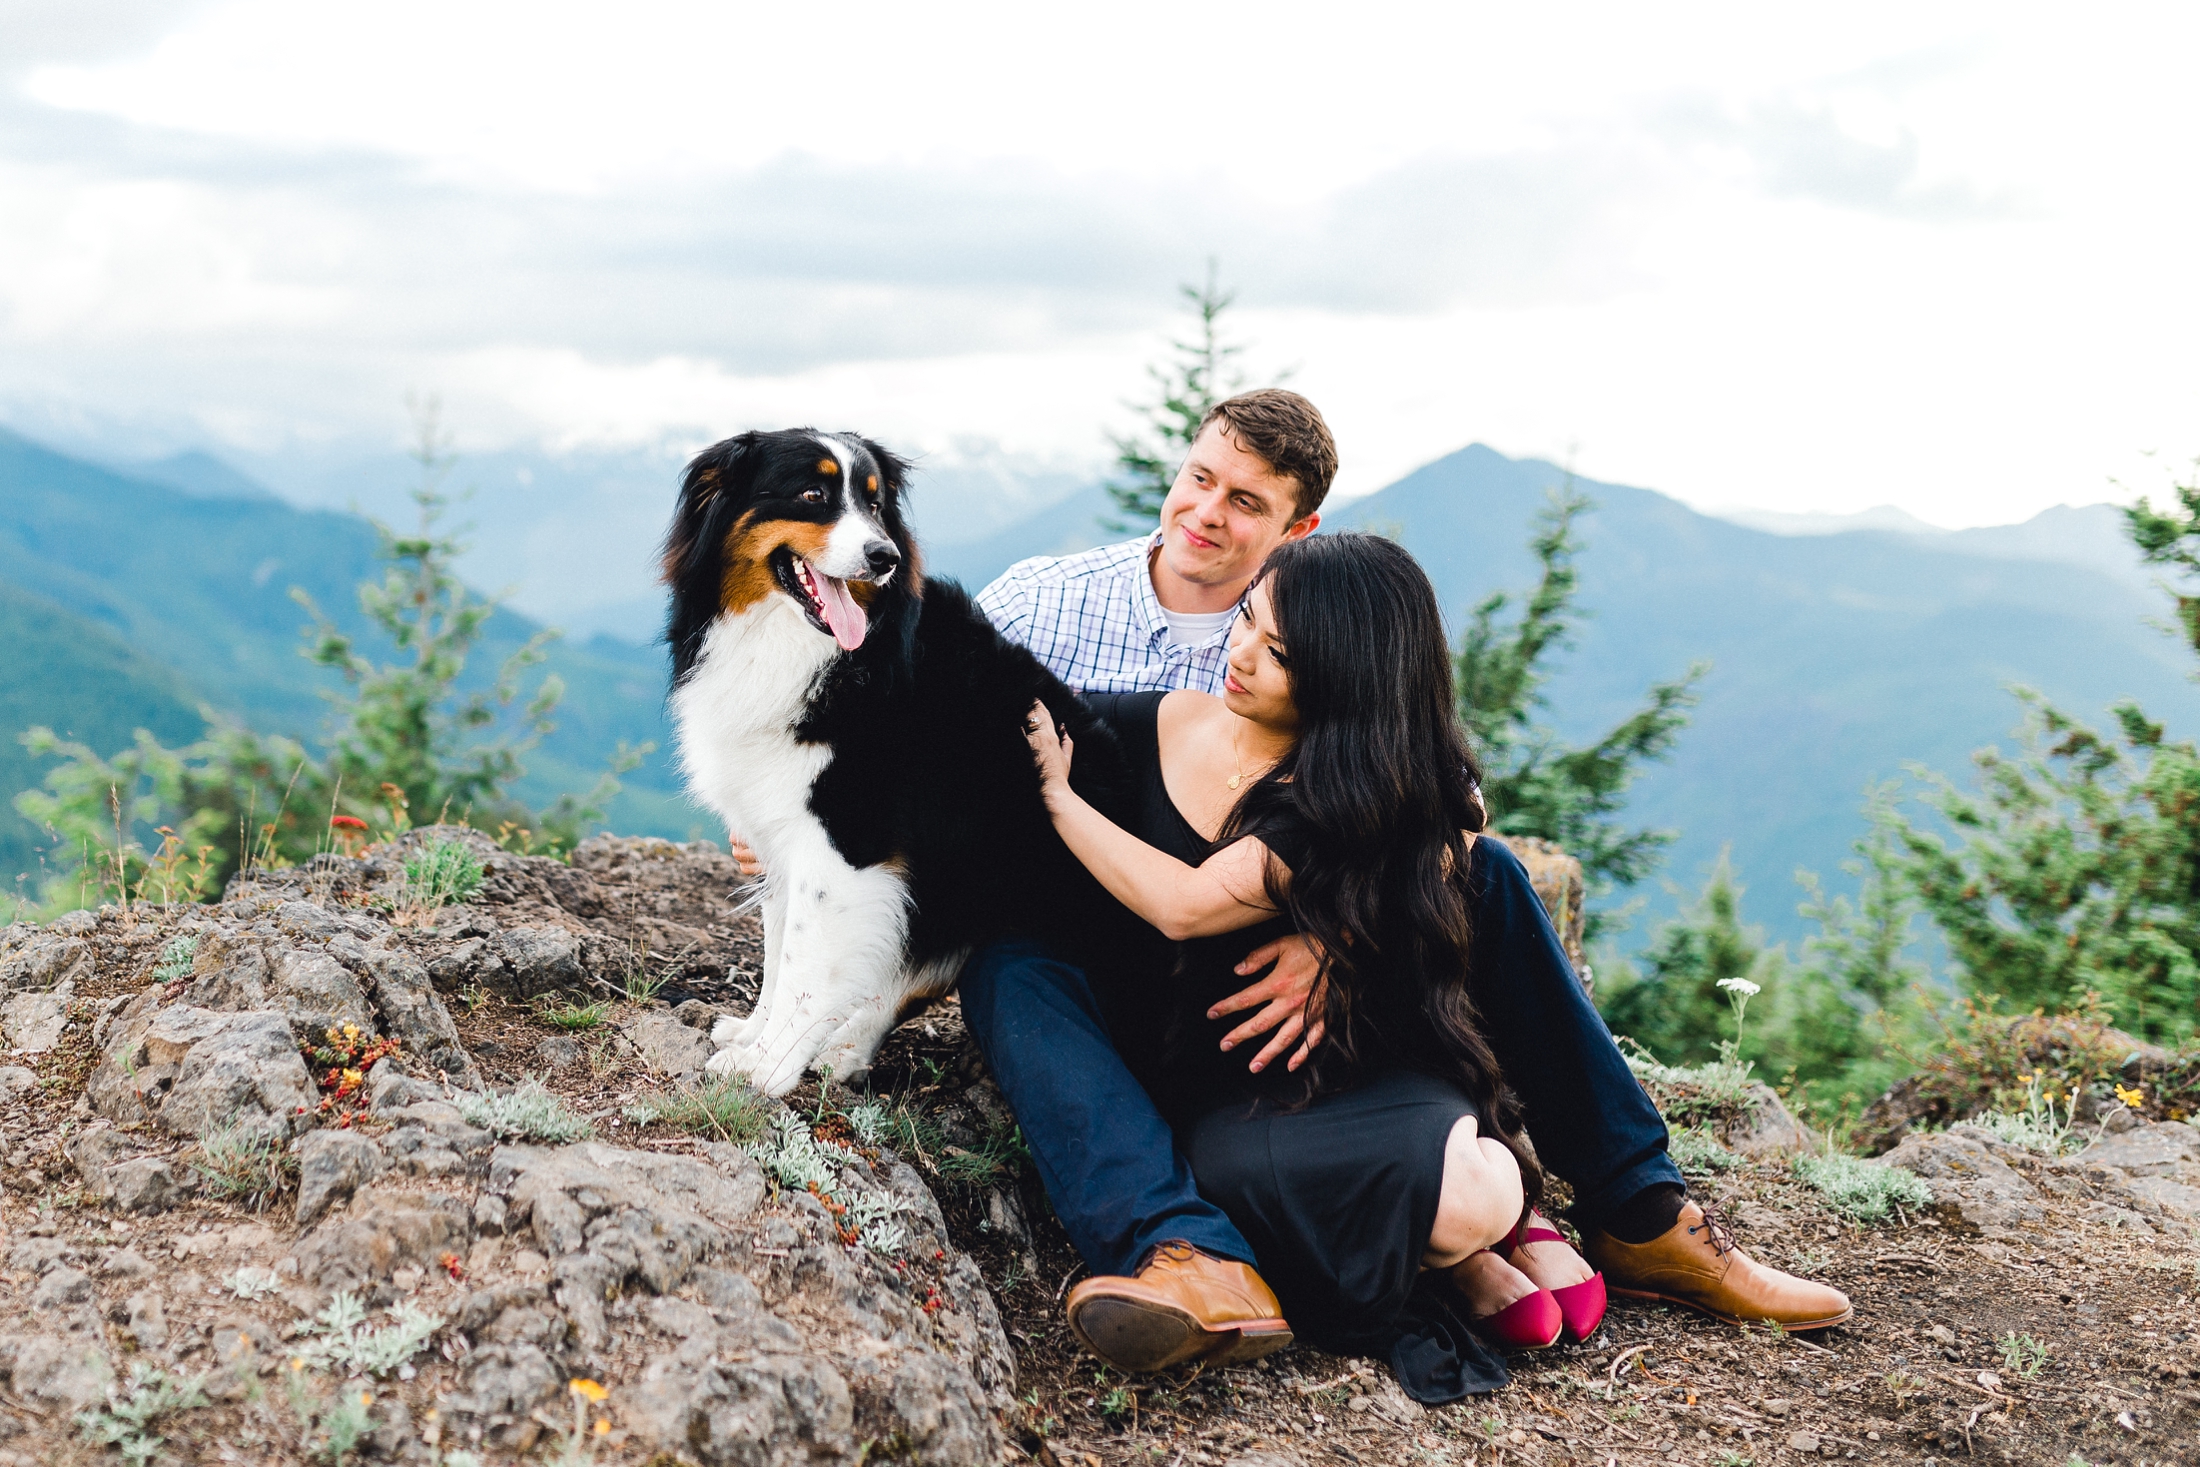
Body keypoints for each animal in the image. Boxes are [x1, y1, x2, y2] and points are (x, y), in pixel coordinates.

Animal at [660, 424, 1144, 1090]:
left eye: (874, 503)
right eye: (811, 494)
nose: (884, 557)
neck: (806, 650)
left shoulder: (846, 841)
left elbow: (805, 960)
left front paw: (769, 1065)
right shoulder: (781, 829)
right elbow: (779, 947)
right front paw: (756, 1037)